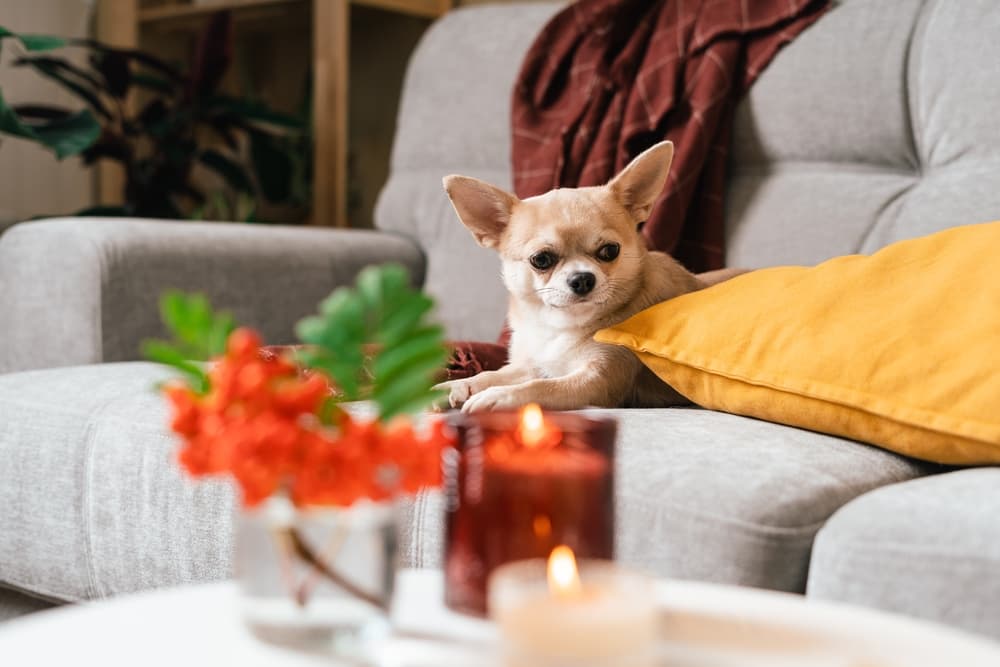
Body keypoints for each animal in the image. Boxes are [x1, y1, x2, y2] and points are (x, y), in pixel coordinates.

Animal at [436, 142, 744, 412]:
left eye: (610, 251)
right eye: (541, 260)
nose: (582, 278)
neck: (560, 326)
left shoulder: (597, 379)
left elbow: (541, 387)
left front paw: (499, 396)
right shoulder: (537, 364)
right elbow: (496, 372)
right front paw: (459, 384)